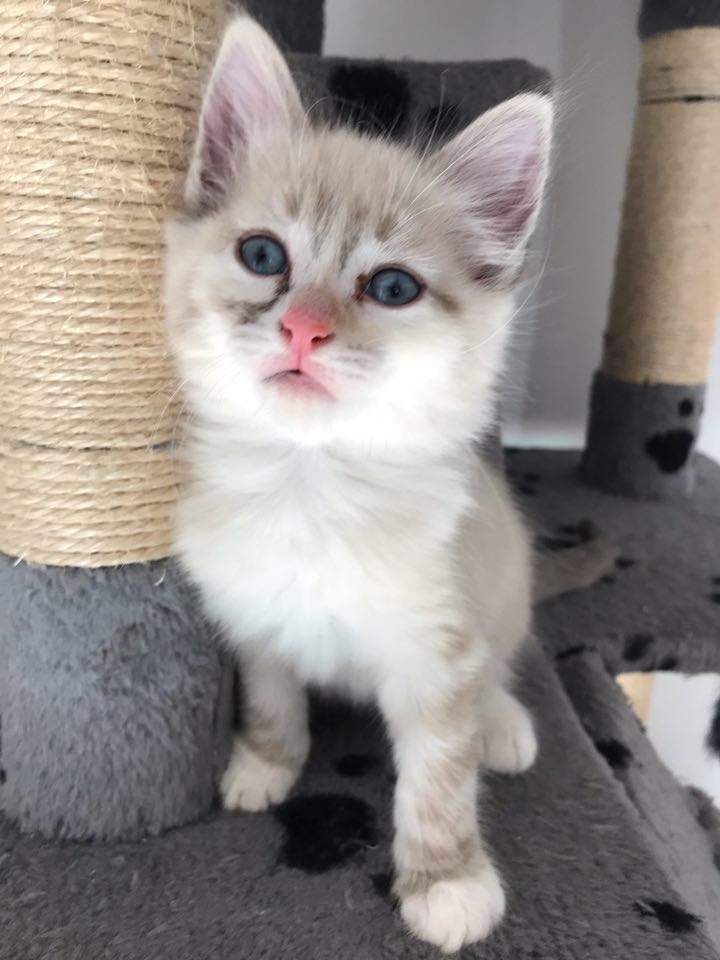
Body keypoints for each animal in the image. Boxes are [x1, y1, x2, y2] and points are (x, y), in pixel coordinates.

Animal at [165, 14, 553, 953]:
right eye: (263, 254)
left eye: (392, 287)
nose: (303, 331)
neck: (311, 484)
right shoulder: (253, 618)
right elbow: (274, 702)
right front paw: (263, 766)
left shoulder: (439, 651)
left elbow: (440, 779)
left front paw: (447, 882)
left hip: (506, 580)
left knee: (501, 669)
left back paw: (504, 725)